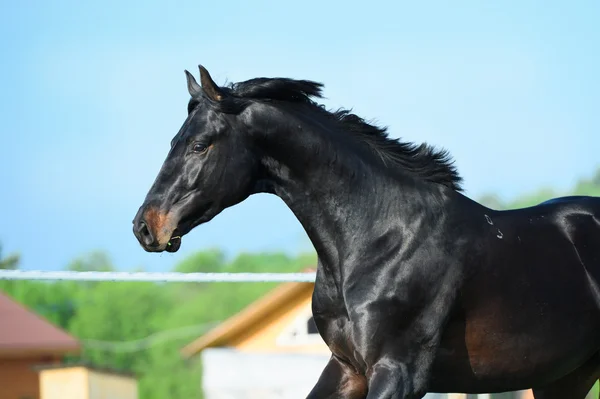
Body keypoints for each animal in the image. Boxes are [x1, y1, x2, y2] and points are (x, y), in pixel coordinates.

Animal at [134, 66, 600, 399]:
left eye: (200, 145)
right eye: (174, 141)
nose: (145, 227)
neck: (379, 239)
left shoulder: (399, 372)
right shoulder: (346, 368)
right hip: (564, 378)